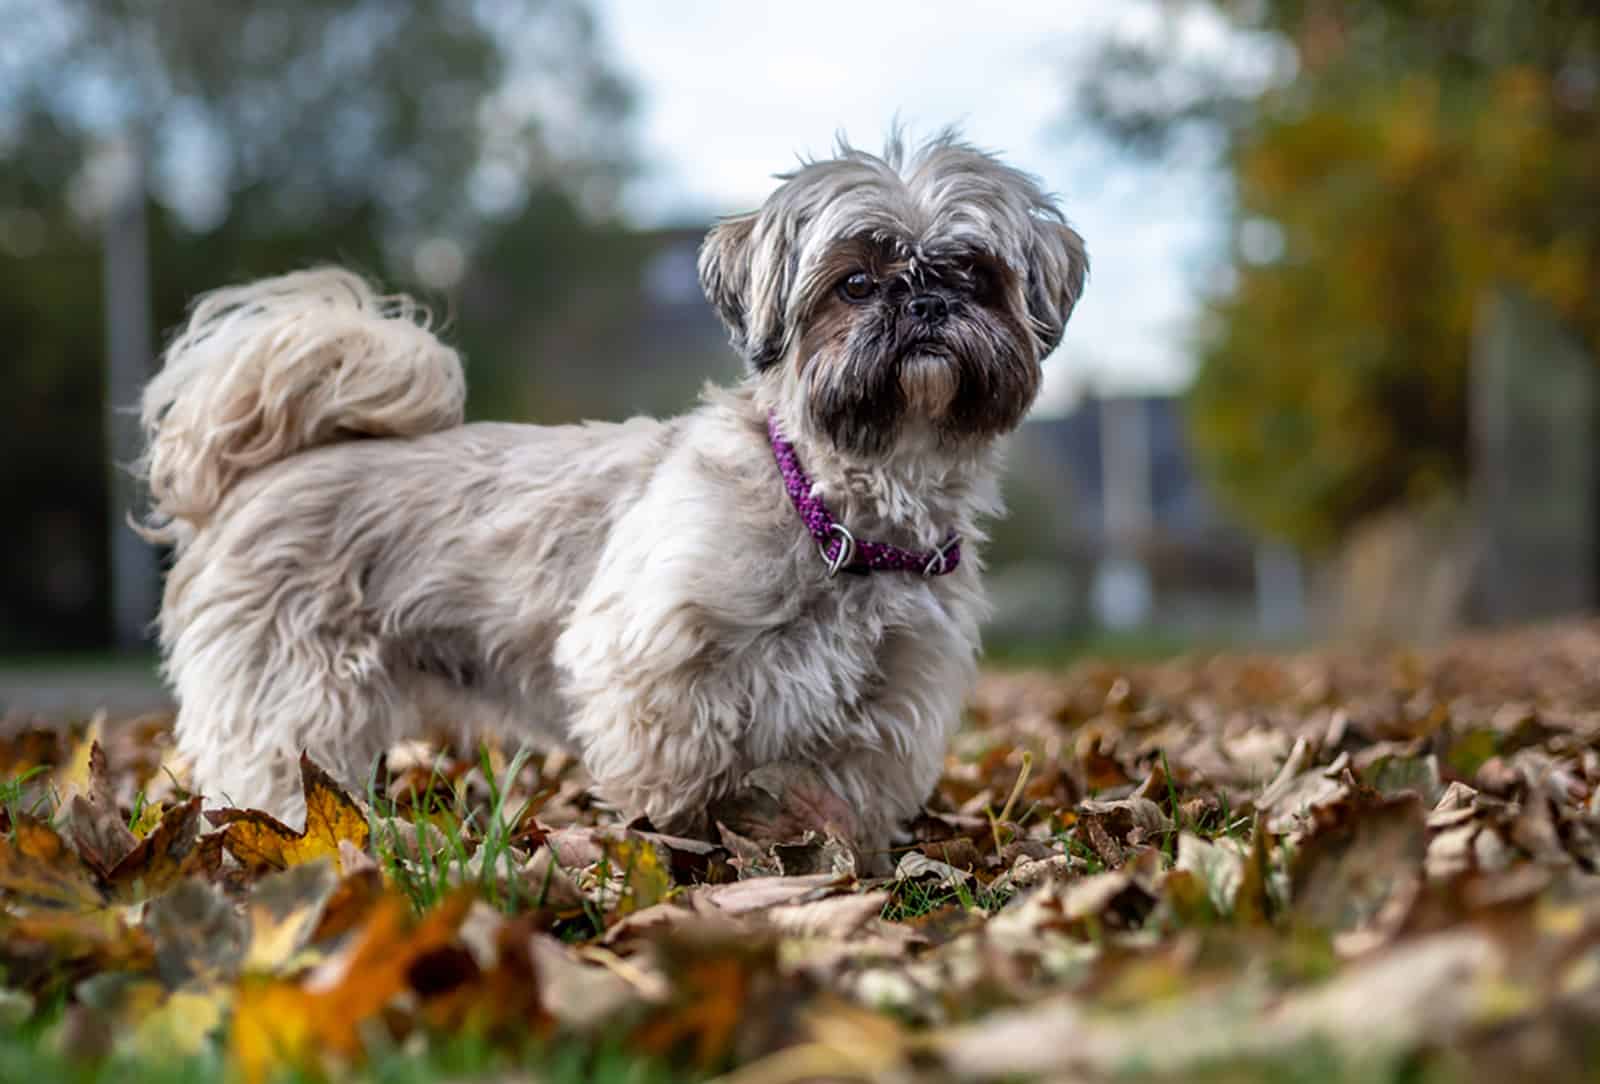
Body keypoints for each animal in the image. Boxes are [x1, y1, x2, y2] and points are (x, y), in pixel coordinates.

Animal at [137, 129, 1088, 856]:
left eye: (975, 275)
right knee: (270, 775)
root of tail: (265, 472)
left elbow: (834, 805)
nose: (925, 302)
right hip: (293, 700)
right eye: (854, 284)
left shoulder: (884, 710)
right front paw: (688, 857)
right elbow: (680, 782)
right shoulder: (650, 666)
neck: (834, 507)